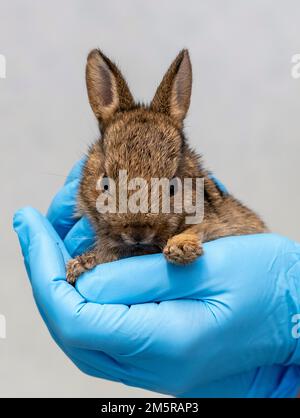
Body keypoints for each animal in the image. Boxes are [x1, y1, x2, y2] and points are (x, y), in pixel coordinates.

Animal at [66, 48, 268, 284]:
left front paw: (181, 248)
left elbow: (200, 228)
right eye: (105, 183)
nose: (137, 232)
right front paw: (79, 266)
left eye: (173, 187)